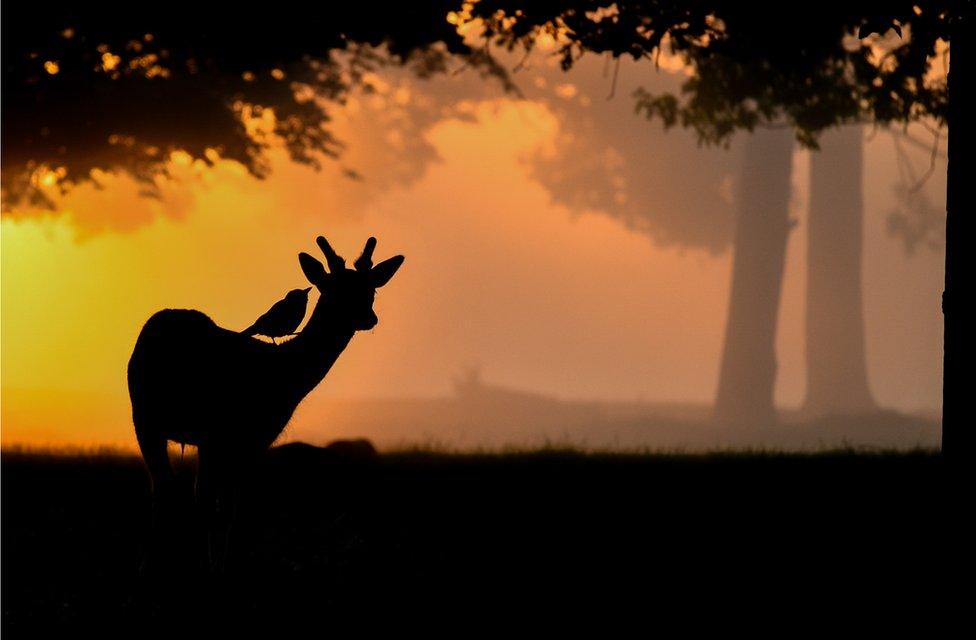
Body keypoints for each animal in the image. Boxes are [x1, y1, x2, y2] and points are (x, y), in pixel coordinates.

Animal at [127, 235, 402, 568]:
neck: (278, 377)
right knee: (166, 491)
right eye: (333, 289)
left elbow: (232, 509)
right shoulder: (218, 432)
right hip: (145, 419)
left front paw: (225, 562)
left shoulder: (254, 440)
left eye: (371, 289)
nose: (368, 317)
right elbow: (211, 505)